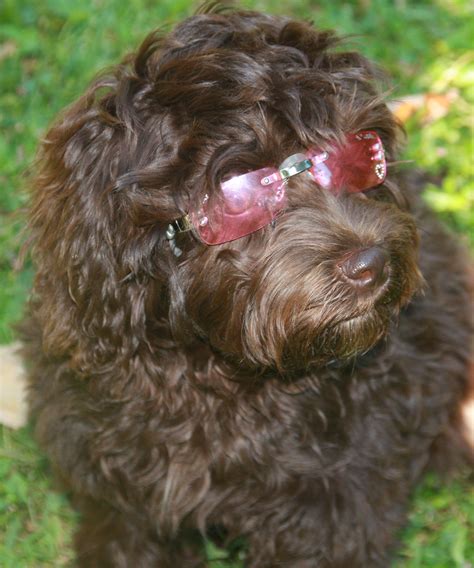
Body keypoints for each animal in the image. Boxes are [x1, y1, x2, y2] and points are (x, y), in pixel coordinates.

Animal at [24, 5, 472, 568]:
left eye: (360, 153)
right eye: (239, 191)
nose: (372, 265)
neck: (214, 375)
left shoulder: (335, 505)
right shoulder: (117, 489)